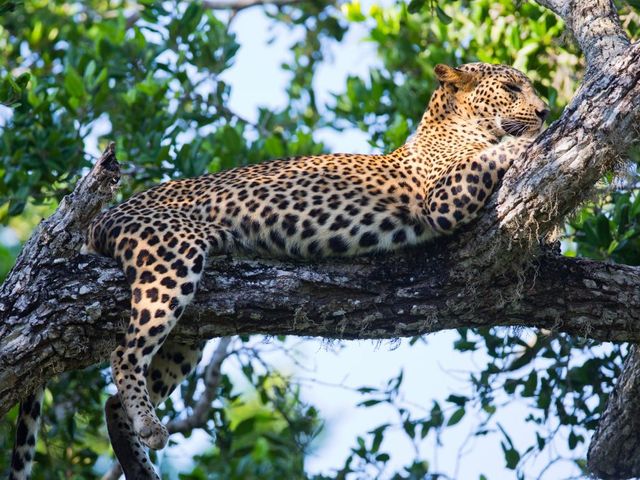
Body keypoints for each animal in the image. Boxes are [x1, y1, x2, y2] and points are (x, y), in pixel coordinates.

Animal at [8, 62, 552, 478]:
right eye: (511, 88)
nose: (546, 110)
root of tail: (105, 215)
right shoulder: (441, 197)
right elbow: (499, 151)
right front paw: (537, 139)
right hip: (172, 256)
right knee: (124, 354)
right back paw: (148, 425)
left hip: (189, 333)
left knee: (113, 400)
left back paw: (142, 463)